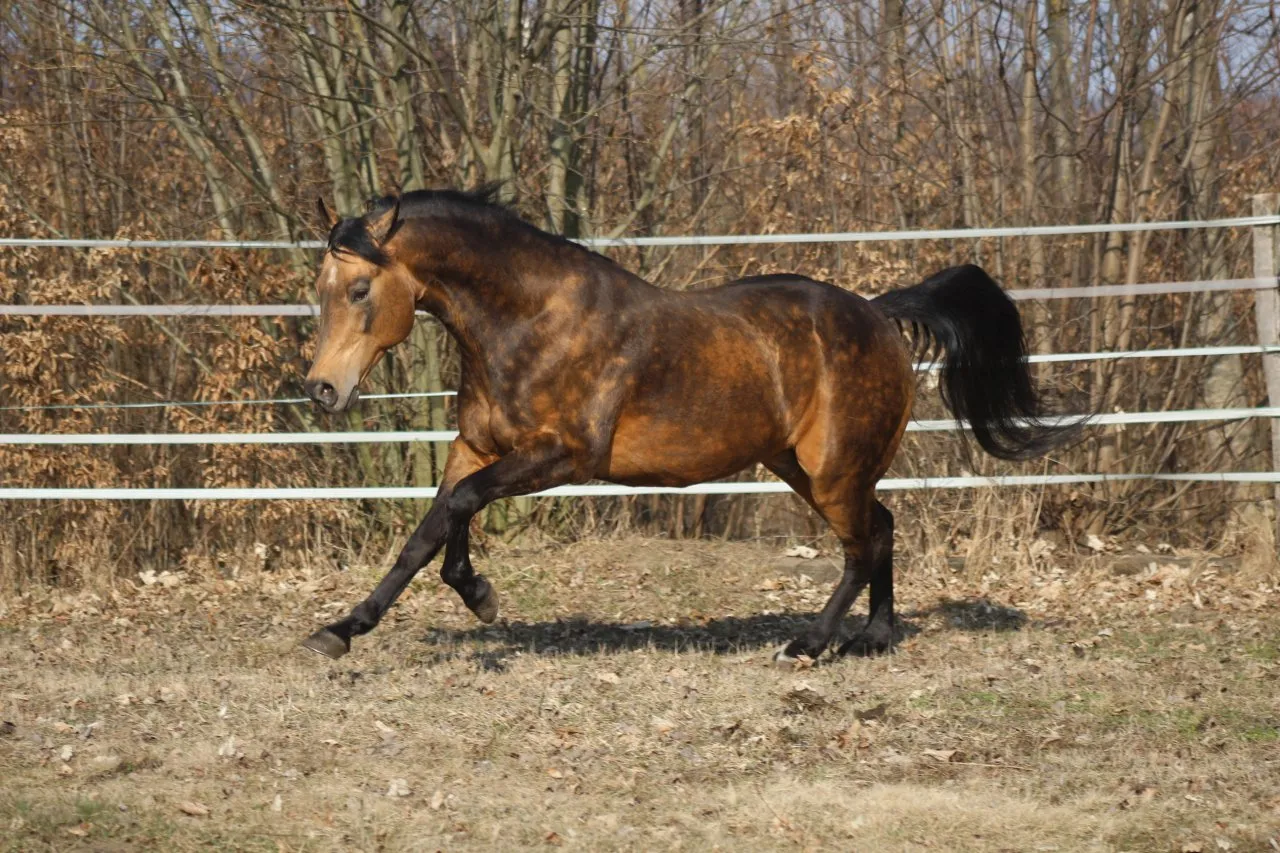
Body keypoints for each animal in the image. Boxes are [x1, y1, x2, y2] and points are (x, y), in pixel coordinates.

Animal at [300, 187, 1076, 663]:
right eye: (320, 290)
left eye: (360, 289)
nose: (322, 390)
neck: (531, 320)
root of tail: (879, 316)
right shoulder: (476, 447)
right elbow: (429, 529)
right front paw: (343, 629)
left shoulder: (563, 457)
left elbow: (458, 509)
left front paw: (480, 597)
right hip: (804, 466)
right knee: (882, 527)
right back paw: (874, 638)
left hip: (832, 469)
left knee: (862, 544)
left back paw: (809, 643)